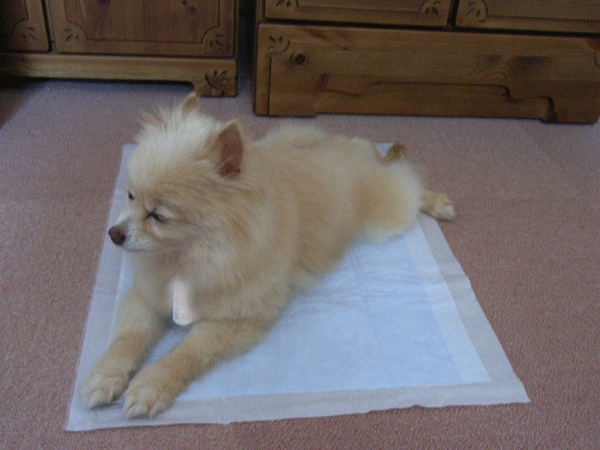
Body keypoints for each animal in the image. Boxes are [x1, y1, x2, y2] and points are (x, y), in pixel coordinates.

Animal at [81, 93, 455, 418]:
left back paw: (437, 202)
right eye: (130, 196)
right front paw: (105, 376)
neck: (190, 258)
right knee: (364, 144)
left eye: (158, 216)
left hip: (387, 215)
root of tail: (351, 155)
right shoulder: (147, 297)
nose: (114, 234)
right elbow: (126, 339)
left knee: (410, 186)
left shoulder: (237, 319)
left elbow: (185, 353)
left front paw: (152, 385)